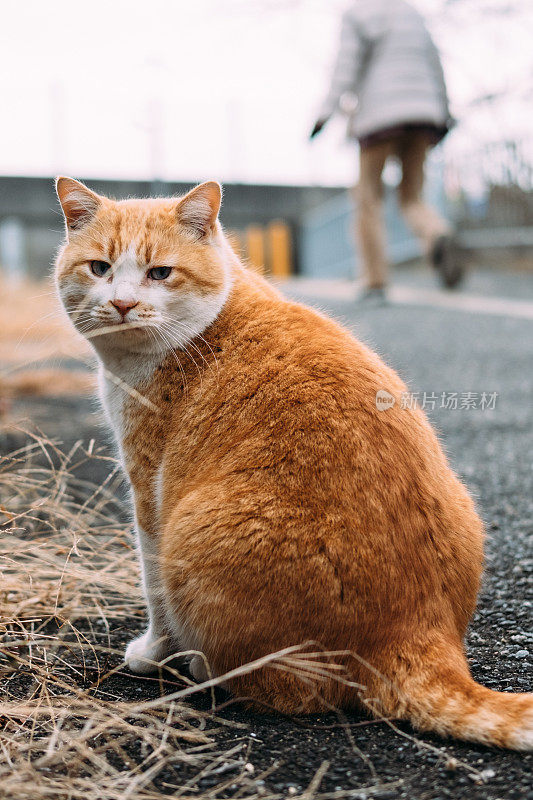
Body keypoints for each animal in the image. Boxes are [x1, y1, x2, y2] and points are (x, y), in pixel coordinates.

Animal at [56, 177, 528, 752]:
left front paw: (152, 652)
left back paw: (204, 668)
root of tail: (421, 630)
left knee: (294, 693)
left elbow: (152, 588)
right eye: (99, 268)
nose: (122, 303)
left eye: (160, 273)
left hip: (192, 529)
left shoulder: (148, 485)